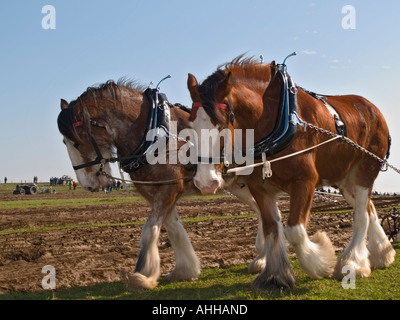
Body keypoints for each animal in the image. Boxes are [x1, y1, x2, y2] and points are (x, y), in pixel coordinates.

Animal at [57, 79, 266, 290]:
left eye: (76, 141)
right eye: (64, 142)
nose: (87, 184)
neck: (154, 134)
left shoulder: (170, 188)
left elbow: (150, 229)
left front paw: (143, 275)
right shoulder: (154, 191)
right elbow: (172, 227)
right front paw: (185, 269)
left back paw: (263, 257)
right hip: (236, 185)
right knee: (260, 209)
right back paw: (261, 256)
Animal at [187, 56, 394, 292]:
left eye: (221, 127)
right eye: (190, 125)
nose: (205, 182)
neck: (277, 120)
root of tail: (373, 108)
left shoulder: (305, 181)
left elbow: (294, 230)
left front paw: (320, 262)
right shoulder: (260, 188)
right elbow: (271, 228)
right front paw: (275, 276)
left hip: (365, 171)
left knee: (360, 214)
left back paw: (352, 263)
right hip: (345, 180)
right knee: (369, 208)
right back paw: (381, 254)